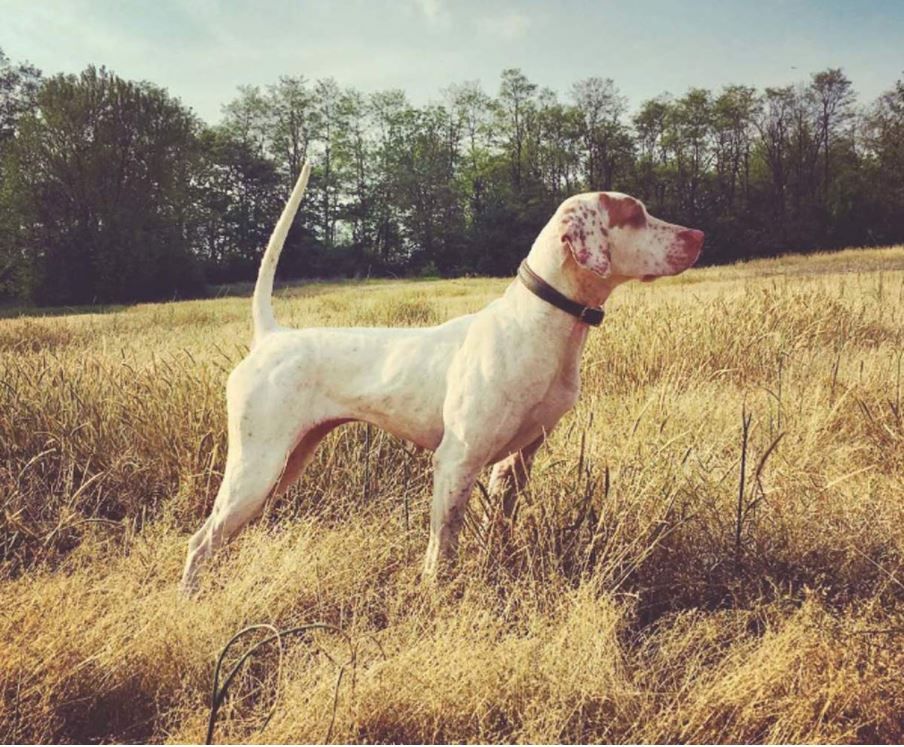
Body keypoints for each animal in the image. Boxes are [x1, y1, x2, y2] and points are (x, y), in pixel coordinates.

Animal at [180, 165, 708, 596]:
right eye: (634, 214)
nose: (699, 234)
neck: (540, 323)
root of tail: (270, 336)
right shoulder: (456, 462)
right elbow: (442, 550)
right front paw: (437, 599)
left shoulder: (515, 463)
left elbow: (498, 531)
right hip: (258, 465)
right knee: (199, 541)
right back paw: (192, 601)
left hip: (283, 467)